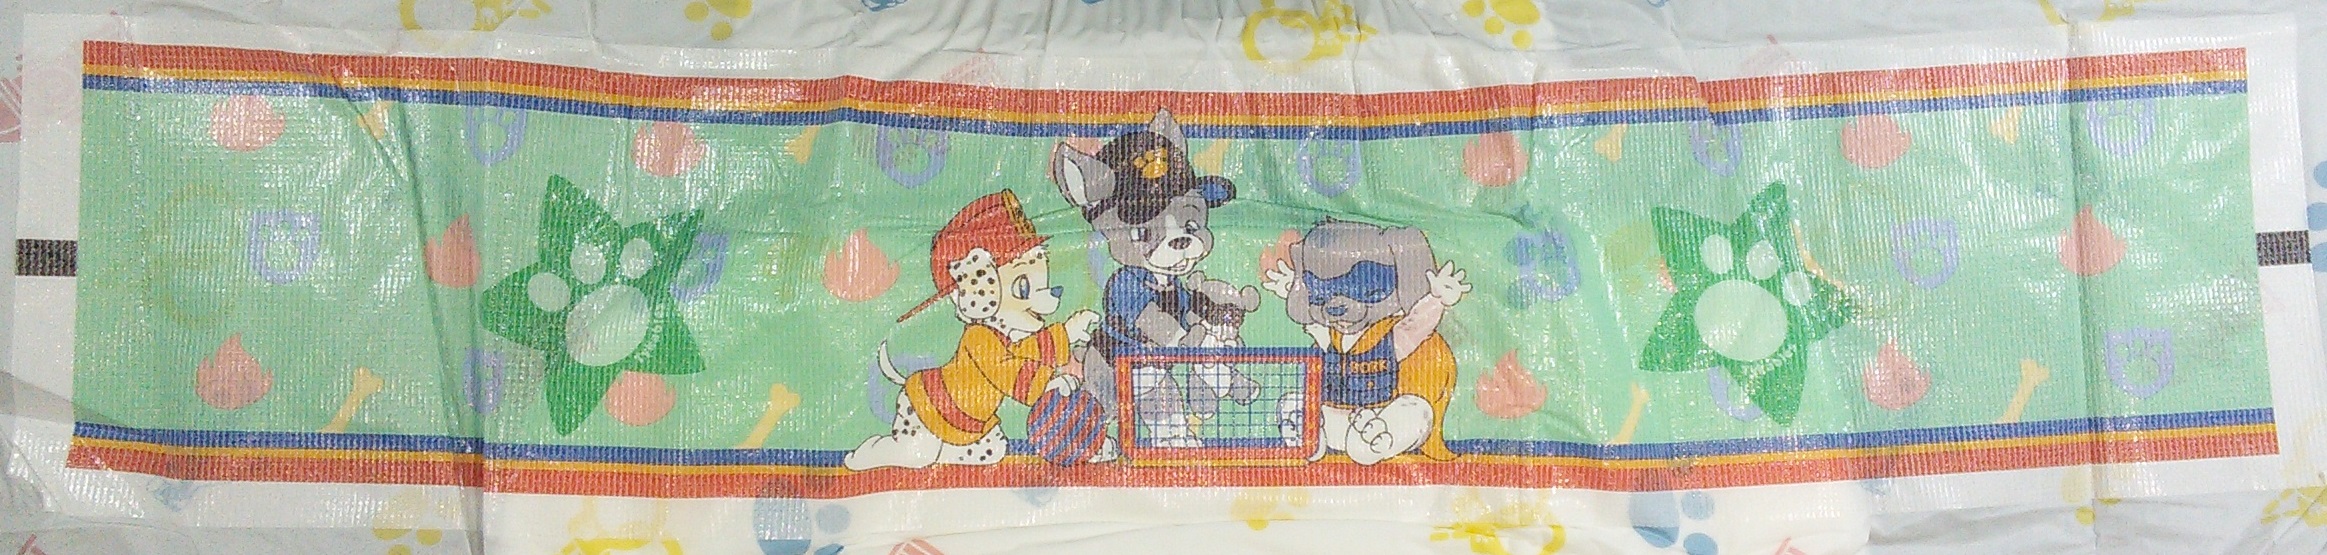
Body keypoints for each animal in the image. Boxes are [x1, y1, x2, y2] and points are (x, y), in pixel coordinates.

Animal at [1052, 109, 1242, 447]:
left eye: (1192, 225)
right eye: (1140, 233)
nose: (1180, 241)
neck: (1159, 280)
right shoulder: (1129, 293)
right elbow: (1158, 322)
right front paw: (1192, 337)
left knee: (1163, 403)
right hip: (1114, 379)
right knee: (1113, 404)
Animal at [1262, 219, 1470, 465]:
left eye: (1371, 290)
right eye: (1318, 293)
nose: (1335, 309)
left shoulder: (1398, 337)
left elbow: (1419, 320)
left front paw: (1442, 289)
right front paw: (1286, 284)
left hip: (1411, 414)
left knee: (1407, 415)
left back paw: (1372, 434)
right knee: (1293, 399)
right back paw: (1302, 429)